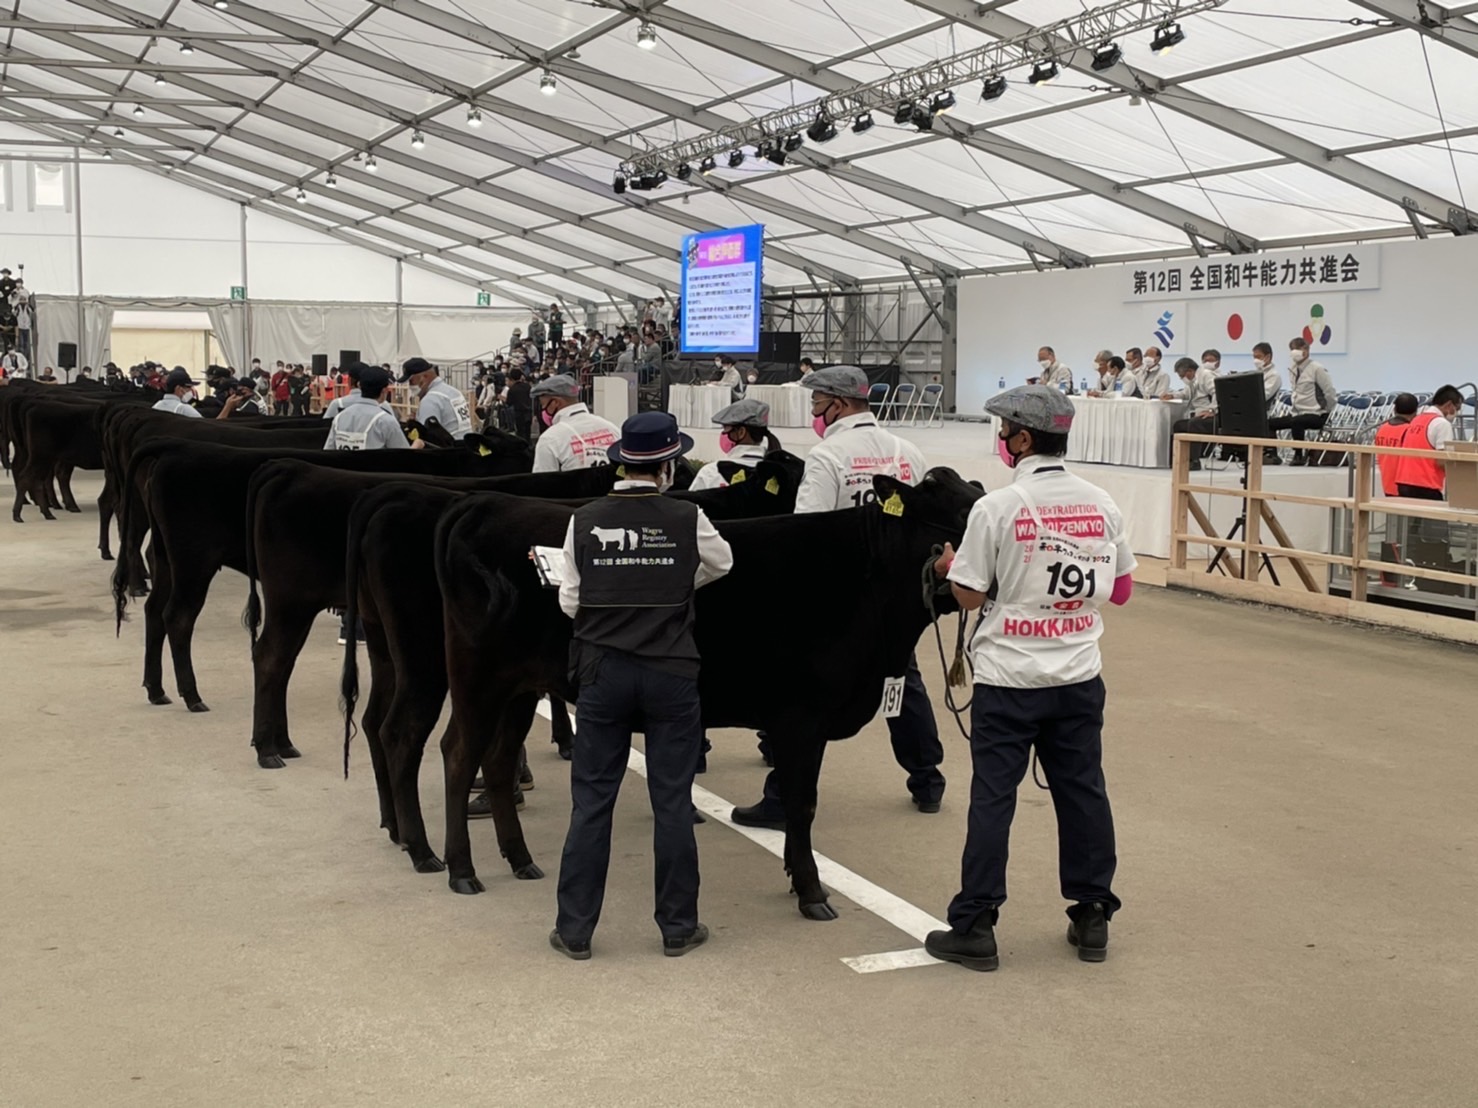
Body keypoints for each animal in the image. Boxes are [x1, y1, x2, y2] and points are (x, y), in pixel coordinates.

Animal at [119, 434, 532, 712]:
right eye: (520, 449)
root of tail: (177, 447)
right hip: (193, 559)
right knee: (178, 616)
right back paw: (192, 695)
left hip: (165, 556)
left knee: (154, 610)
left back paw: (156, 689)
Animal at [336, 452, 809, 874]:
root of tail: (396, 493)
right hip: (427, 655)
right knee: (405, 731)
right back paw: (424, 850)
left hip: (385, 644)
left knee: (377, 721)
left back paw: (398, 828)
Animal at [428, 472, 981, 921]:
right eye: (960, 516)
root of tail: (486, 502)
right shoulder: (801, 717)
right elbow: (801, 804)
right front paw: (811, 892)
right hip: (479, 677)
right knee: (459, 753)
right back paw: (460, 869)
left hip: (520, 686)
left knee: (499, 759)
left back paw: (520, 860)